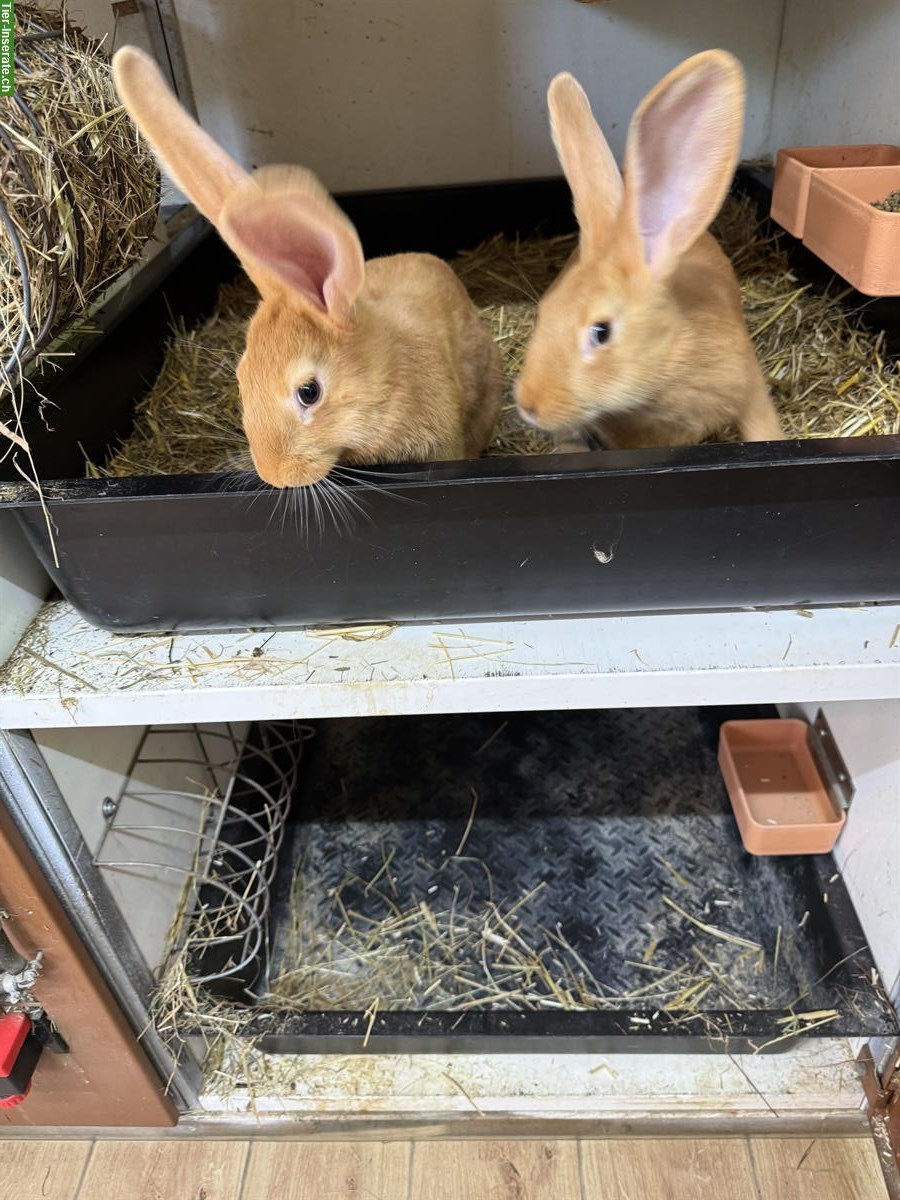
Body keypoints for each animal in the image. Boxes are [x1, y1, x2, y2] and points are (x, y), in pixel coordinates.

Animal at [518, 51, 787, 451]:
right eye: (543, 312)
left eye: (601, 332)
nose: (528, 404)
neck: (668, 360)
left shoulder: (747, 382)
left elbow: (760, 423)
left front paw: (774, 438)